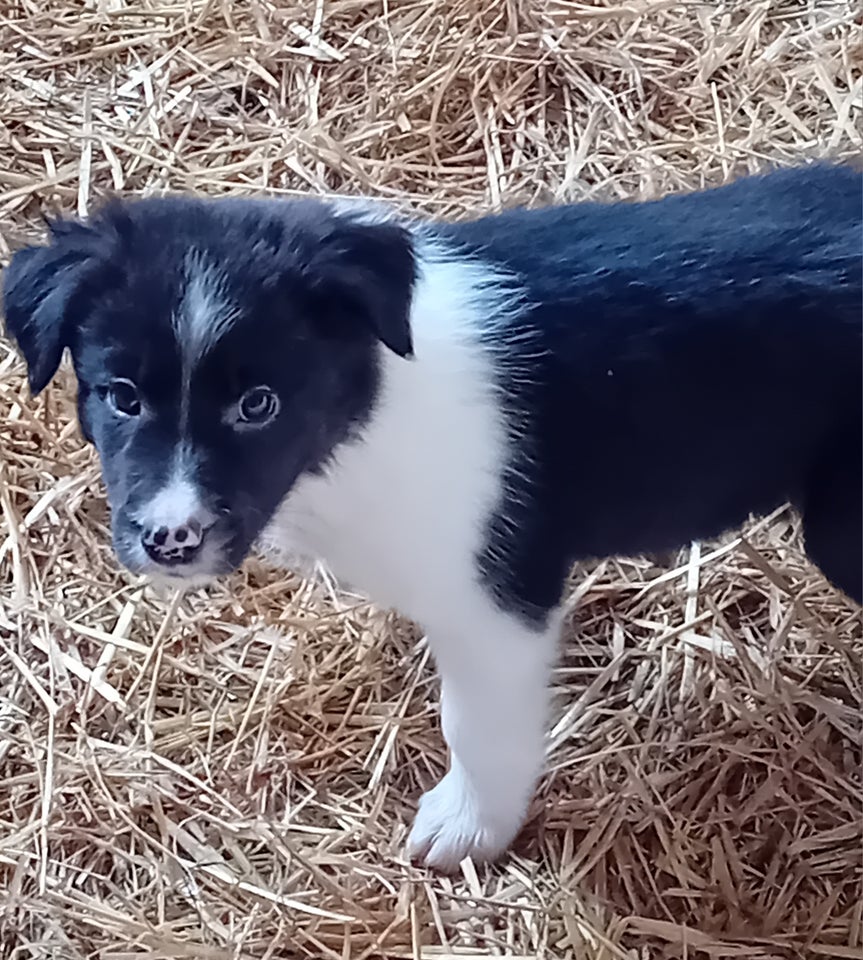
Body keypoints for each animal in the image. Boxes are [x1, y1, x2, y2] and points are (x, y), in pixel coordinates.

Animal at [6, 163, 863, 872]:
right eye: (122, 396)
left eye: (258, 405)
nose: (169, 540)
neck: (367, 409)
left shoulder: (497, 604)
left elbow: (475, 725)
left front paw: (467, 829)